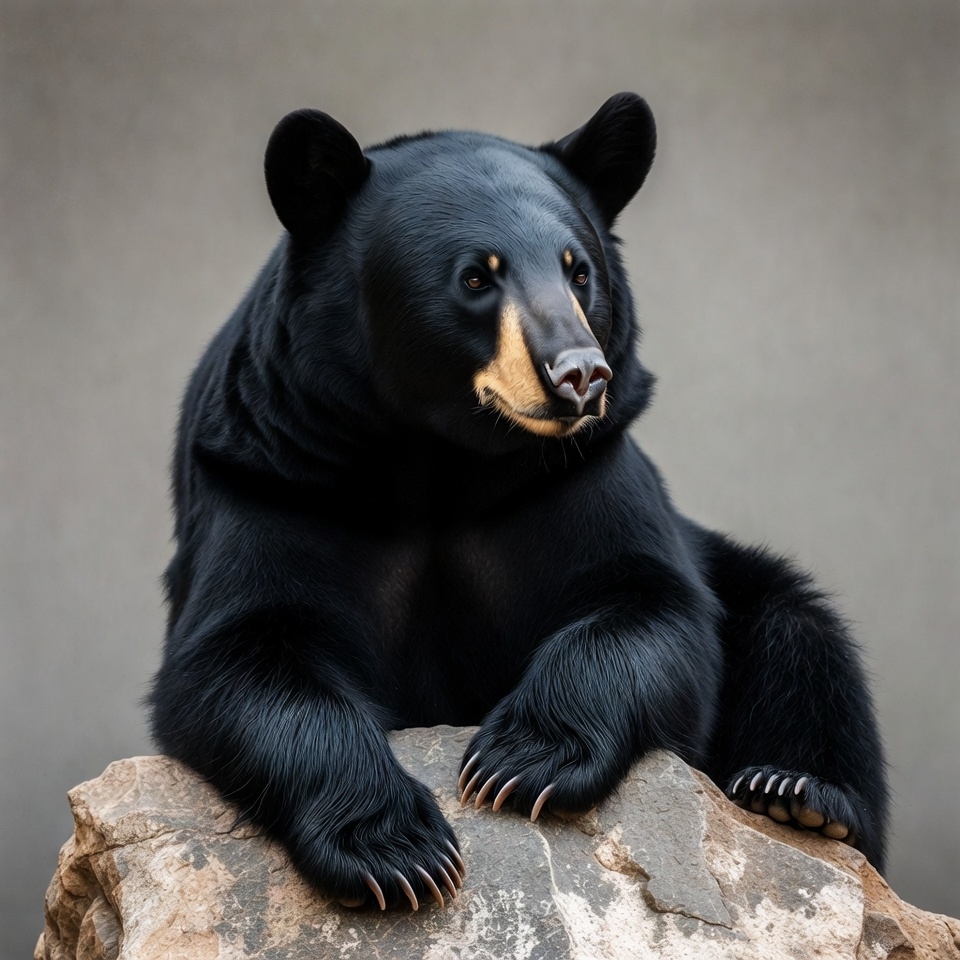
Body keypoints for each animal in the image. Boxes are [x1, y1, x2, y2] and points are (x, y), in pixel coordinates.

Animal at [149, 93, 889, 911]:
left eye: (579, 271)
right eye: (476, 278)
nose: (580, 374)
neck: (438, 455)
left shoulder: (579, 476)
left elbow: (649, 607)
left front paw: (518, 761)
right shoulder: (275, 475)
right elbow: (241, 657)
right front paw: (399, 851)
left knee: (799, 635)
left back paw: (795, 794)